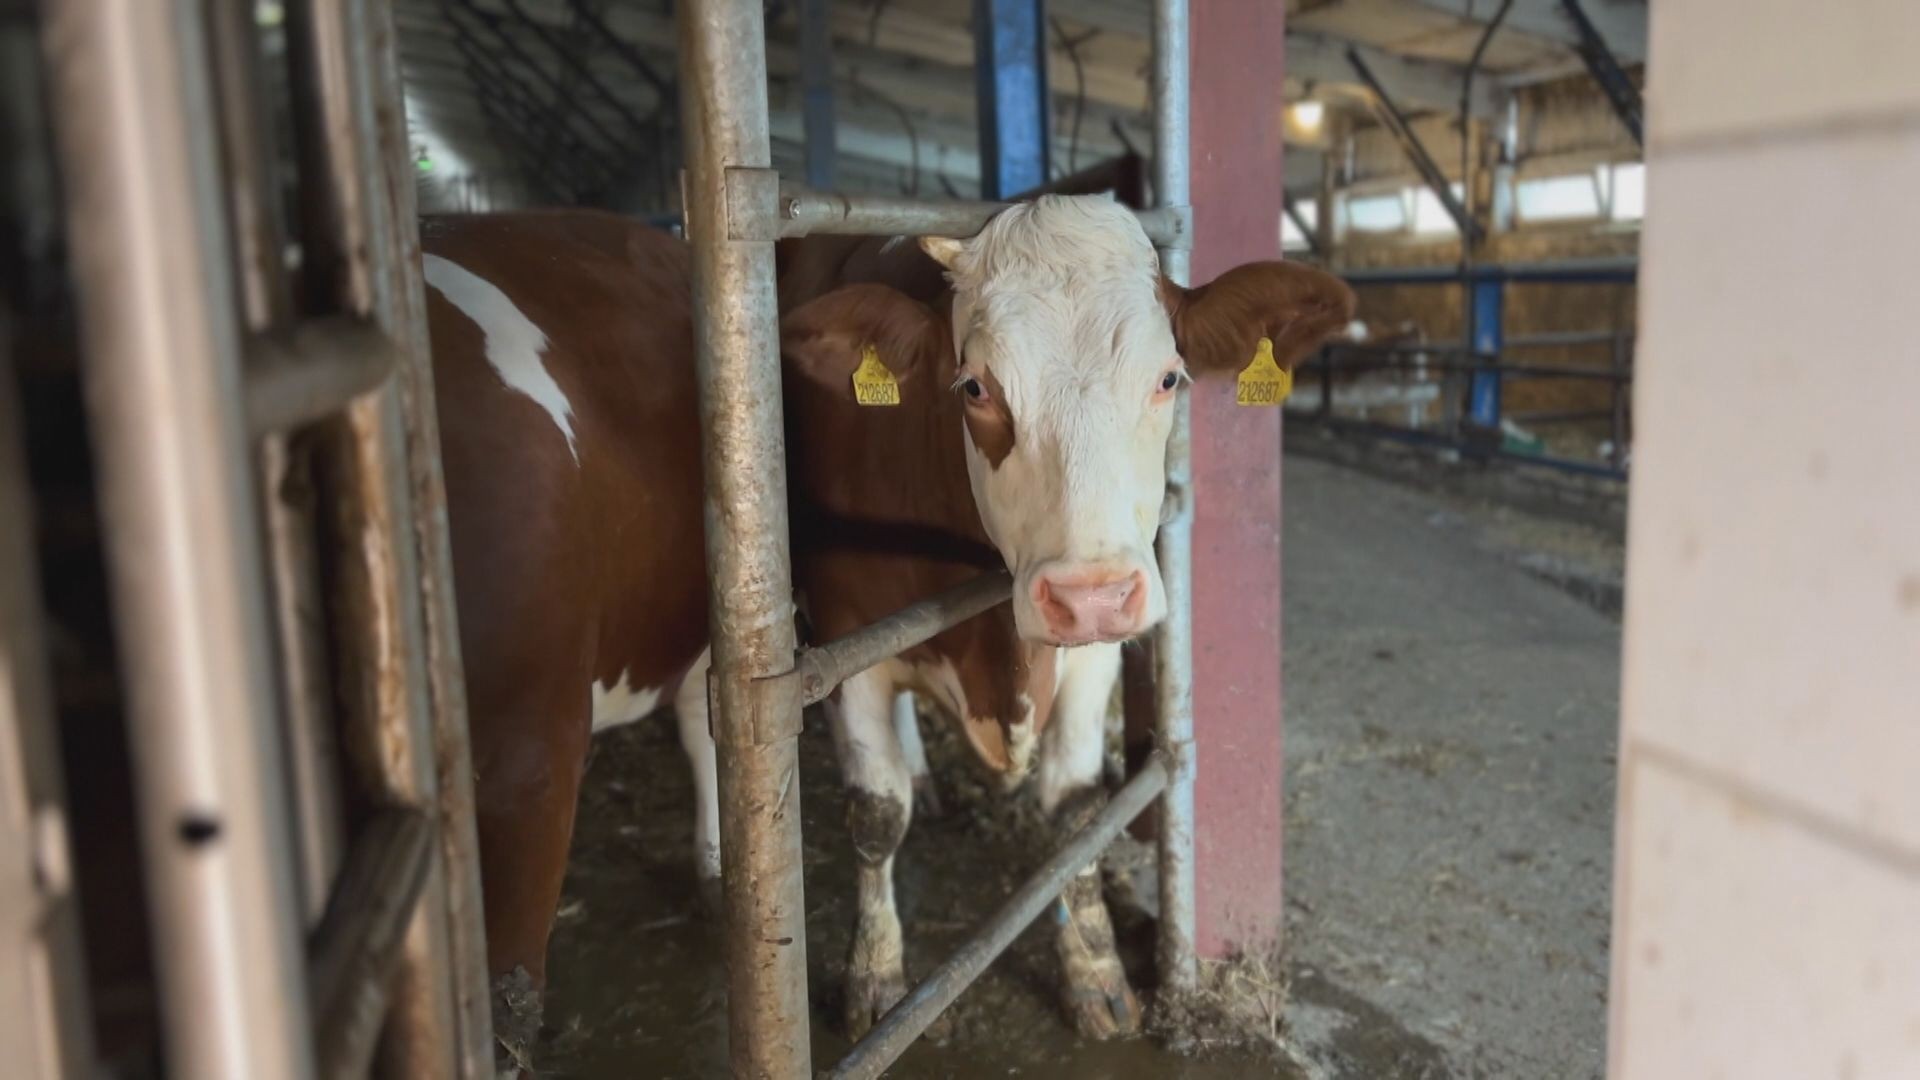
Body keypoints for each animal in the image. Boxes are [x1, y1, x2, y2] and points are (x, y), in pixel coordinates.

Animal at [420, 195, 1351, 1060]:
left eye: (1168, 379)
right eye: (975, 388)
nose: (1088, 597)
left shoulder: (1094, 655)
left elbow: (1074, 807)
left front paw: (1095, 974)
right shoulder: (847, 642)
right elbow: (876, 813)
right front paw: (874, 975)